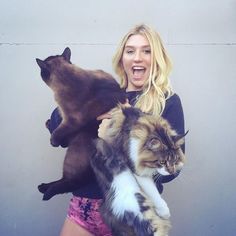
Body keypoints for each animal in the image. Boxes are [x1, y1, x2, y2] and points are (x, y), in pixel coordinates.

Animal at [35, 48, 125, 201]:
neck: (69, 77)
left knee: (69, 182)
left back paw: (46, 191)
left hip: (73, 152)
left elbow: (57, 132)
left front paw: (53, 140)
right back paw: (43, 187)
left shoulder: (70, 120)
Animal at [90, 106, 188, 235]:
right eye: (162, 162)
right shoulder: (137, 169)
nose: (171, 172)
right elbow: (153, 192)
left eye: (175, 159)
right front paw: (164, 211)